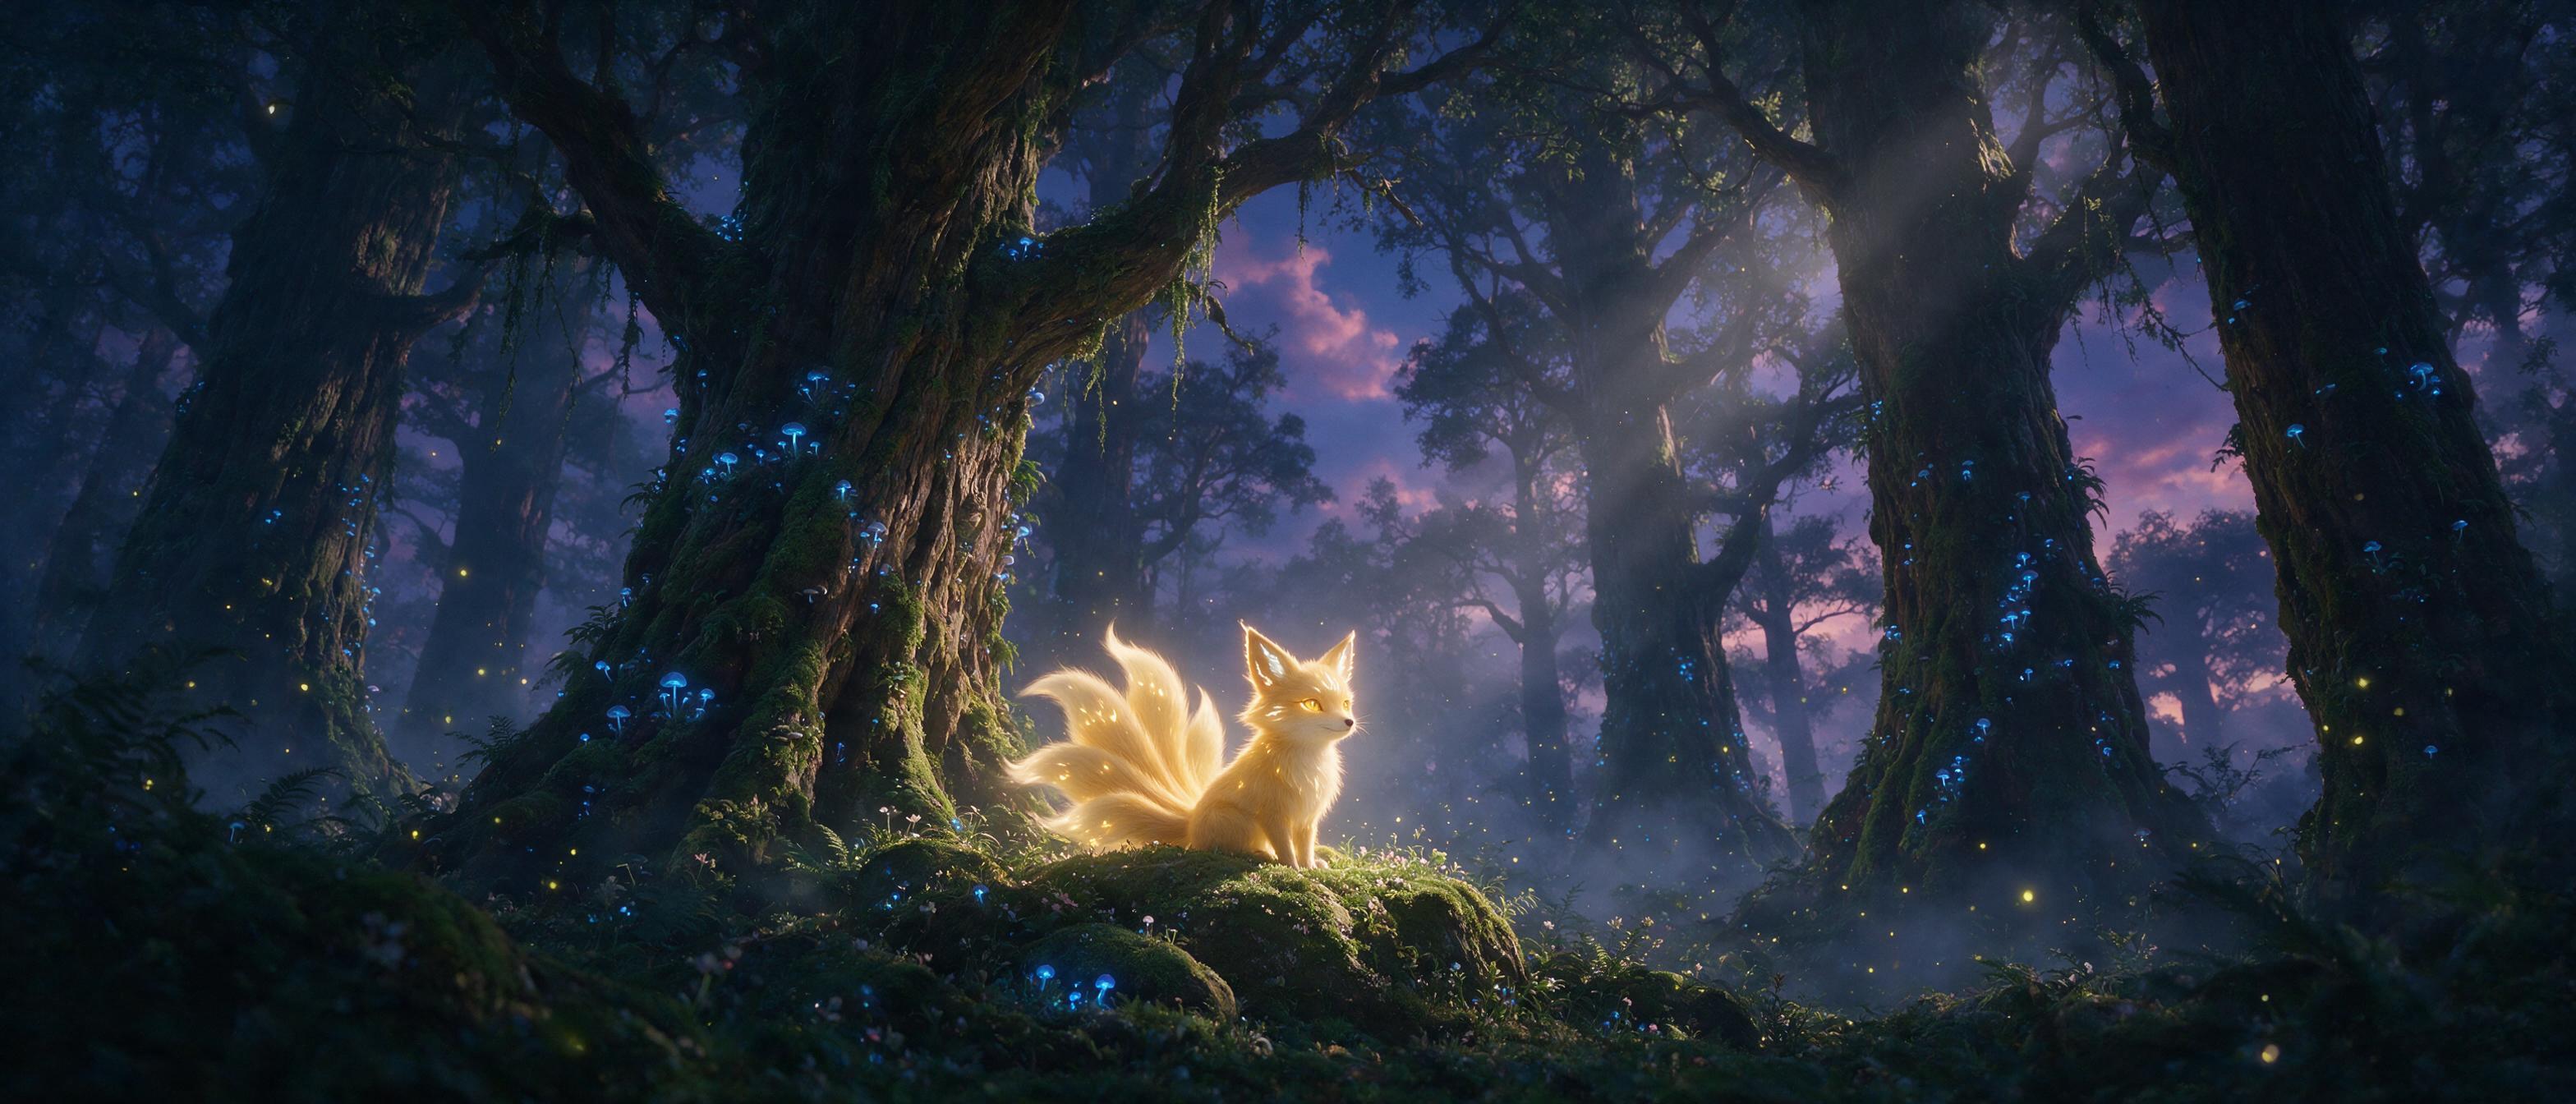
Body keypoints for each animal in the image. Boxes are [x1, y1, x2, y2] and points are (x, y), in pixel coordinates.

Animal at [1008, 623, 1359, 868]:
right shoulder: (1273, 814)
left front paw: (1312, 868)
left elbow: (1306, 846)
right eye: (1312, 704)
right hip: (1237, 820)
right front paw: (1292, 868)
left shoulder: (1308, 819)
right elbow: (1286, 848)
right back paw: (1260, 854)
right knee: (1223, 848)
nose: (1349, 722)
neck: (1309, 761)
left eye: (1345, 702)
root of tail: (1190, 823)